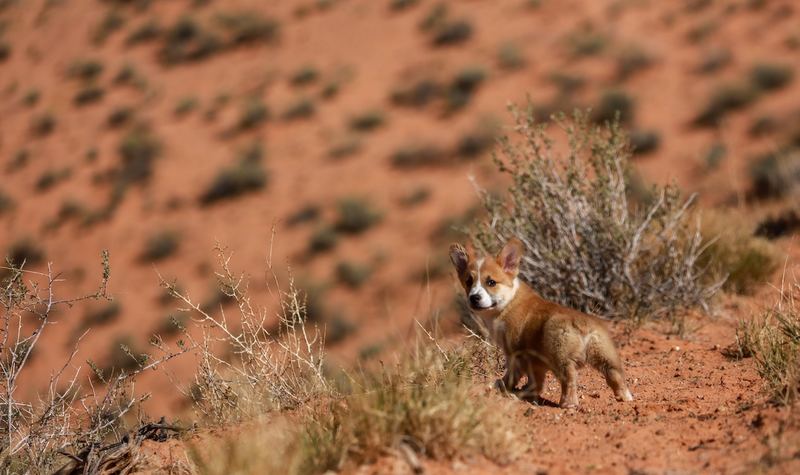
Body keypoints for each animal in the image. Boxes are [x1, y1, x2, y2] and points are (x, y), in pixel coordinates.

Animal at [450, 238, 632, 410]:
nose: (474, 298)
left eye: (491, 282)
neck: (508, 301)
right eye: (468, 281)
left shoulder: (514, 353)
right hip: (605, 354)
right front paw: (522, 392)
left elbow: (512, 376)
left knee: (569, 377)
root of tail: (583, 324)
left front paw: (502, 386)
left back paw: (568, 403)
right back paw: (625, 397)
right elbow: (536, 383)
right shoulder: (536, 363)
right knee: (615, 375)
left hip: (559, 355)